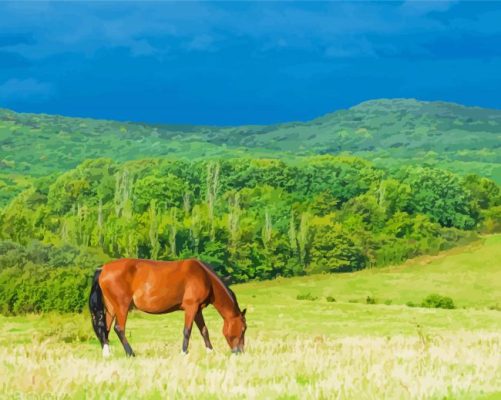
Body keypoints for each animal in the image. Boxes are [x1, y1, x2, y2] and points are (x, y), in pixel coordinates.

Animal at [90, 258, 248, 358]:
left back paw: (107, 354)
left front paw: (210, 352)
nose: (240, 352)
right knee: (119, 328)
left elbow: (204, 330)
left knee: (105, 329)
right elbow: (187, 331)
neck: (205, 276)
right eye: (243, 329)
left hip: (111, 308)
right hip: (122, 306)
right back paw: (130, 353)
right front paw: (184, 353)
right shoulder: (191, 307)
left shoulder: (197, 310)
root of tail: (103, 268)